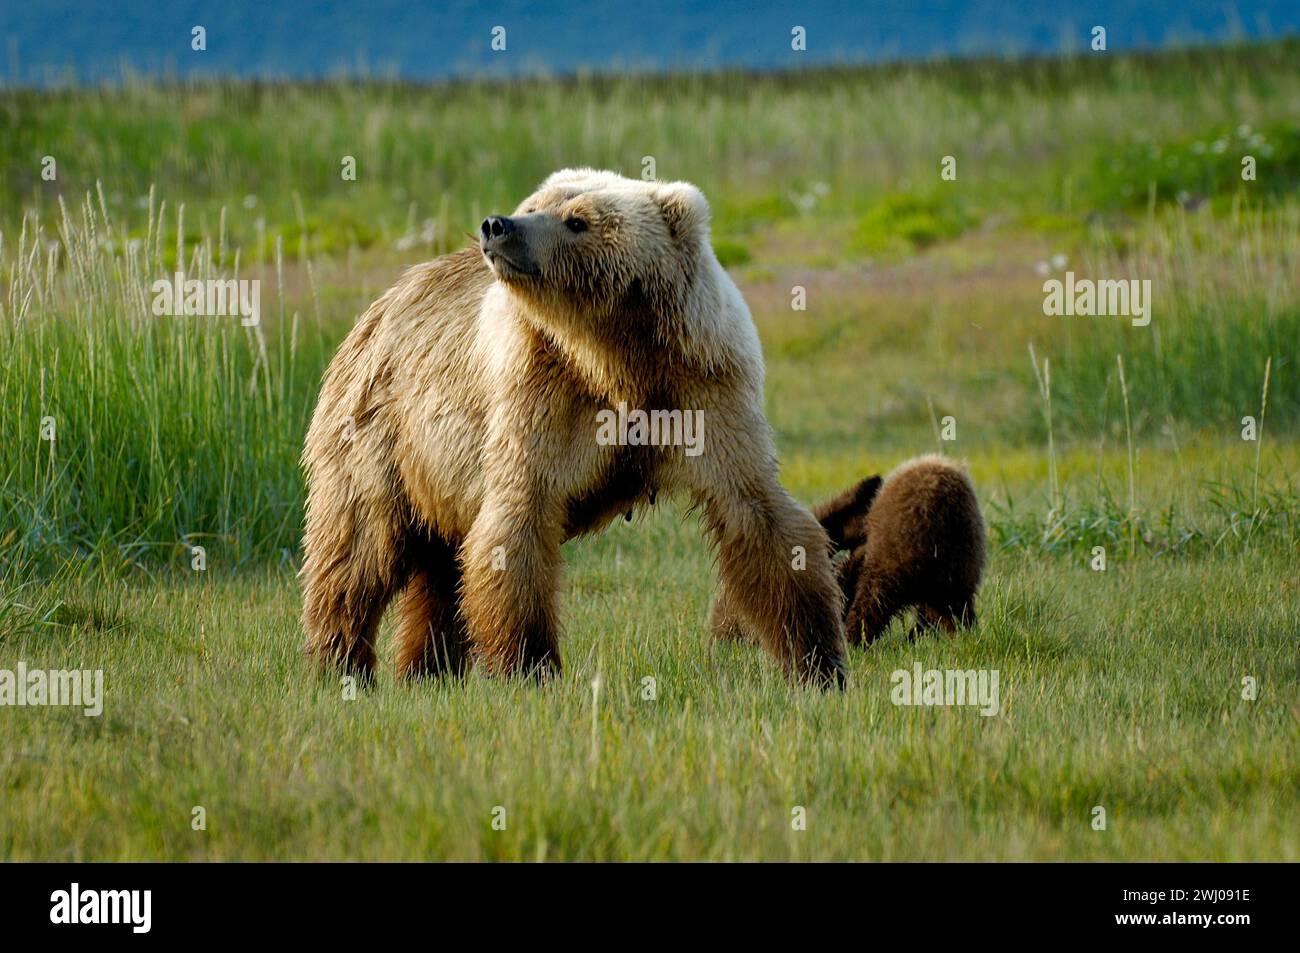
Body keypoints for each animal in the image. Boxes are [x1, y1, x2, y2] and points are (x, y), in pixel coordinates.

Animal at [299, 168, 846, 685]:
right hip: (384, 429)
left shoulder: (705, 385)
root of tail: (385, 300)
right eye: (533, 205)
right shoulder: (542, 393)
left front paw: (818, 661)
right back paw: (341, 663)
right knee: (358, 545)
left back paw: (426, 668)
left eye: (577, 219)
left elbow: (758, 514)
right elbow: (519, 520)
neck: (614, 353)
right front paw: (530, 666)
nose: (498, 225)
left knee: (438, 564)